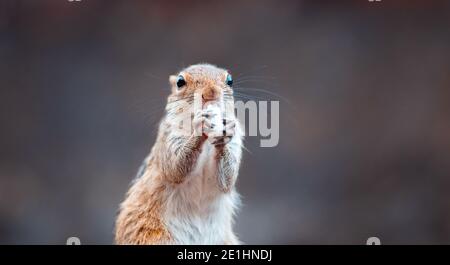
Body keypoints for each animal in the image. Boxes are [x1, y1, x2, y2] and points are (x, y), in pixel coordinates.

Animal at [114, 62, 244, 243]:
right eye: (180, 82)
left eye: (230, 81)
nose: (210, 92)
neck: (207, 144)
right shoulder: (168, 138)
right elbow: (175, 169)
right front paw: (199, 127)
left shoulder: (236, 142)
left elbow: (227, 180)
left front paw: (225, 132)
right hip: (152, 235)